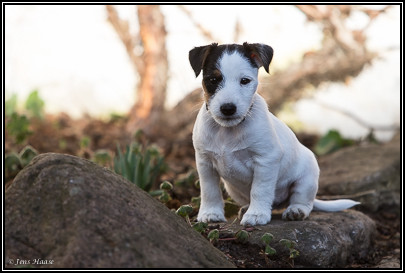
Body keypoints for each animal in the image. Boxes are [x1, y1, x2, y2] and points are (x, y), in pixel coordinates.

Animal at [188, 43, 358, 225]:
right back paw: (246, 208)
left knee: (303, 200)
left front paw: (256, 214)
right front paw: (211, 213)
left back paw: (296, 210)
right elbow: (209, 190)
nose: (228, 108)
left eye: (245, 81)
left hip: (307, 179)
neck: (227, 131)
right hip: (232, 189)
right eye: (213, 80)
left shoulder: (266, 159)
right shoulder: (205, 163)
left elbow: (259, 189)